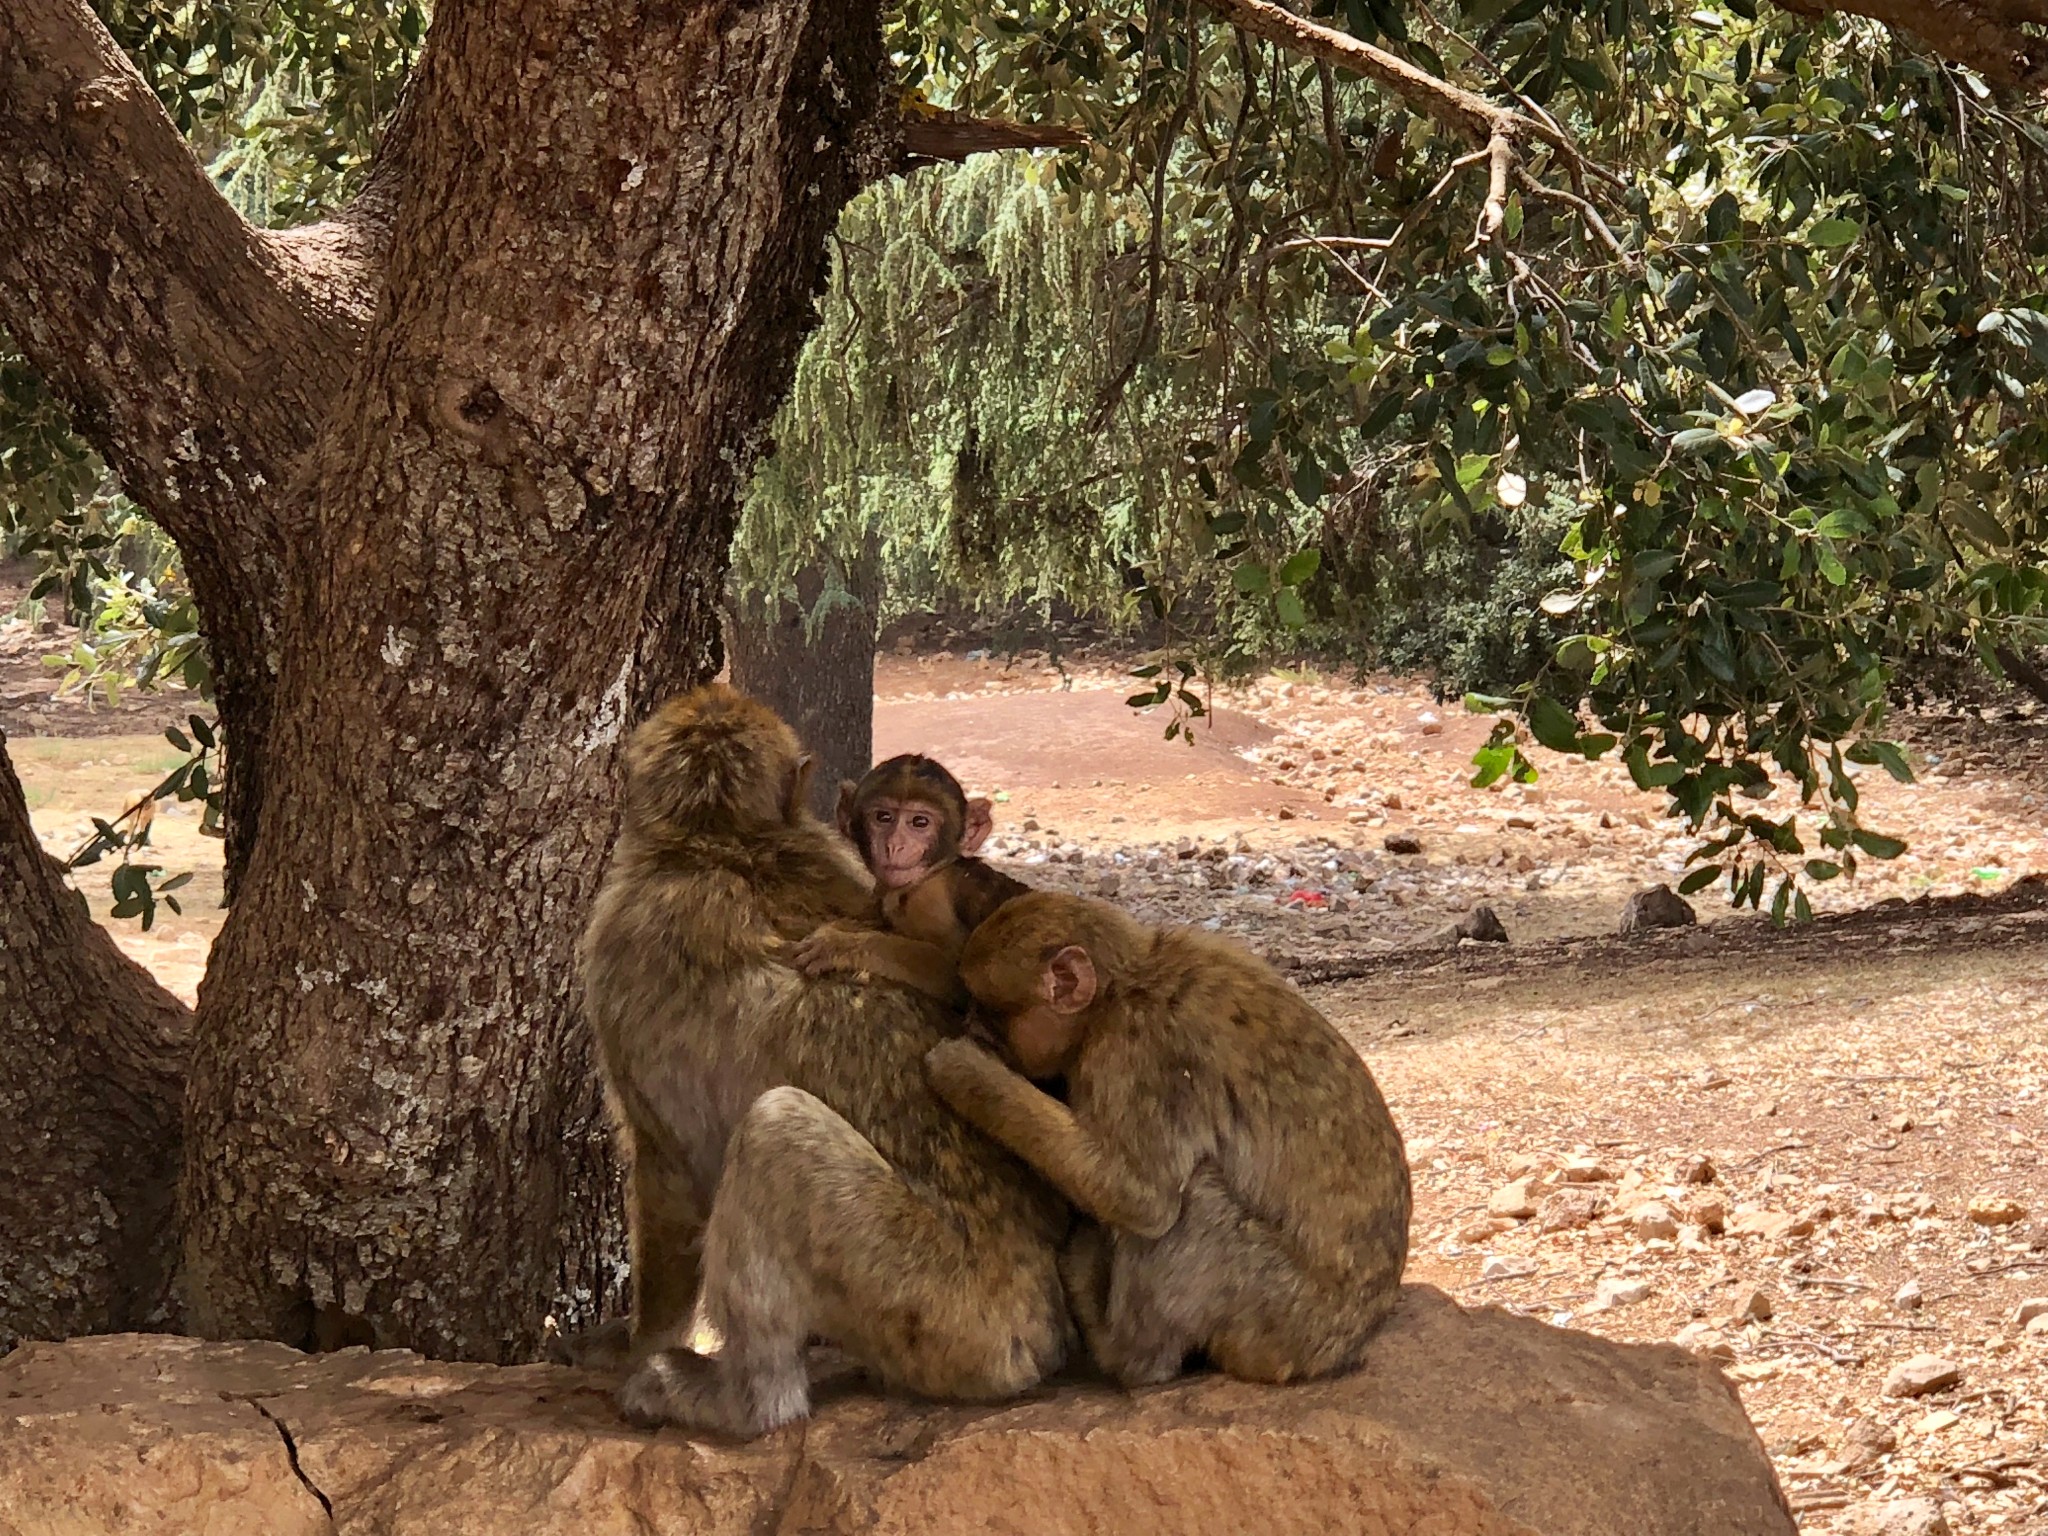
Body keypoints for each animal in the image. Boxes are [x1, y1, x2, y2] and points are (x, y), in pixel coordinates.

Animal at [577, 692, 1073, 1441]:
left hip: (932, 1305)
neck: (727, 843)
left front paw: (643, 1344)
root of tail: (1038, 1341)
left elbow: (669, 1178)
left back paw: (743, 1400)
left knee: (772, 1129)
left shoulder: (621, 942)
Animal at [925, 888, 1409, 1392]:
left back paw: (1124, 1350)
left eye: (987, 1009)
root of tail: (1341, 1347)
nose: (969, 1021)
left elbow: (1141, 1198)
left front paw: (966, 1073)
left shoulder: (1132, 1050)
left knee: (1196, 1202)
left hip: (1278, 1314)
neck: (1124, 985)